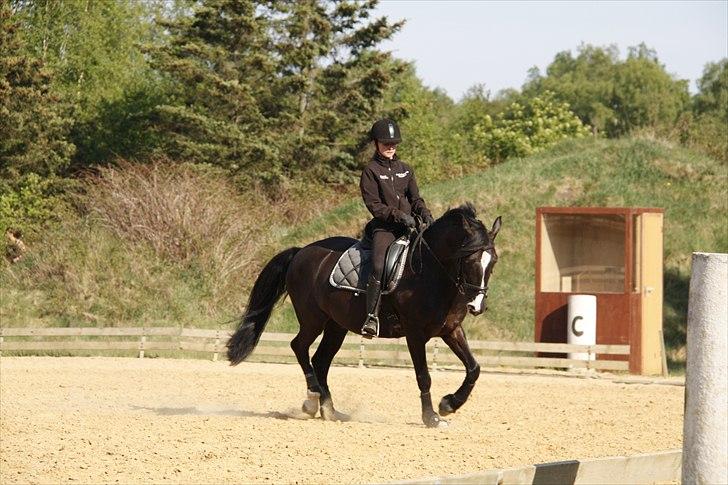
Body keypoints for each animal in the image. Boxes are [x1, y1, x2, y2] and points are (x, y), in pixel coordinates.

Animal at [228, 201, 500, 428]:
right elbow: (424, 376)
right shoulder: (414, 334)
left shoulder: (451, 330)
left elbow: (474, 368)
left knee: (320, 360)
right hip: (312, 319)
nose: (477, 306)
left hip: (336, 326)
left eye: (494, 261)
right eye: (470, 260)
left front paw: (448, 405)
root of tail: (301, 251)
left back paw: (330, 410)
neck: (431, 274)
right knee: (299, 347)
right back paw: (312, 399)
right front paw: (431, 417)